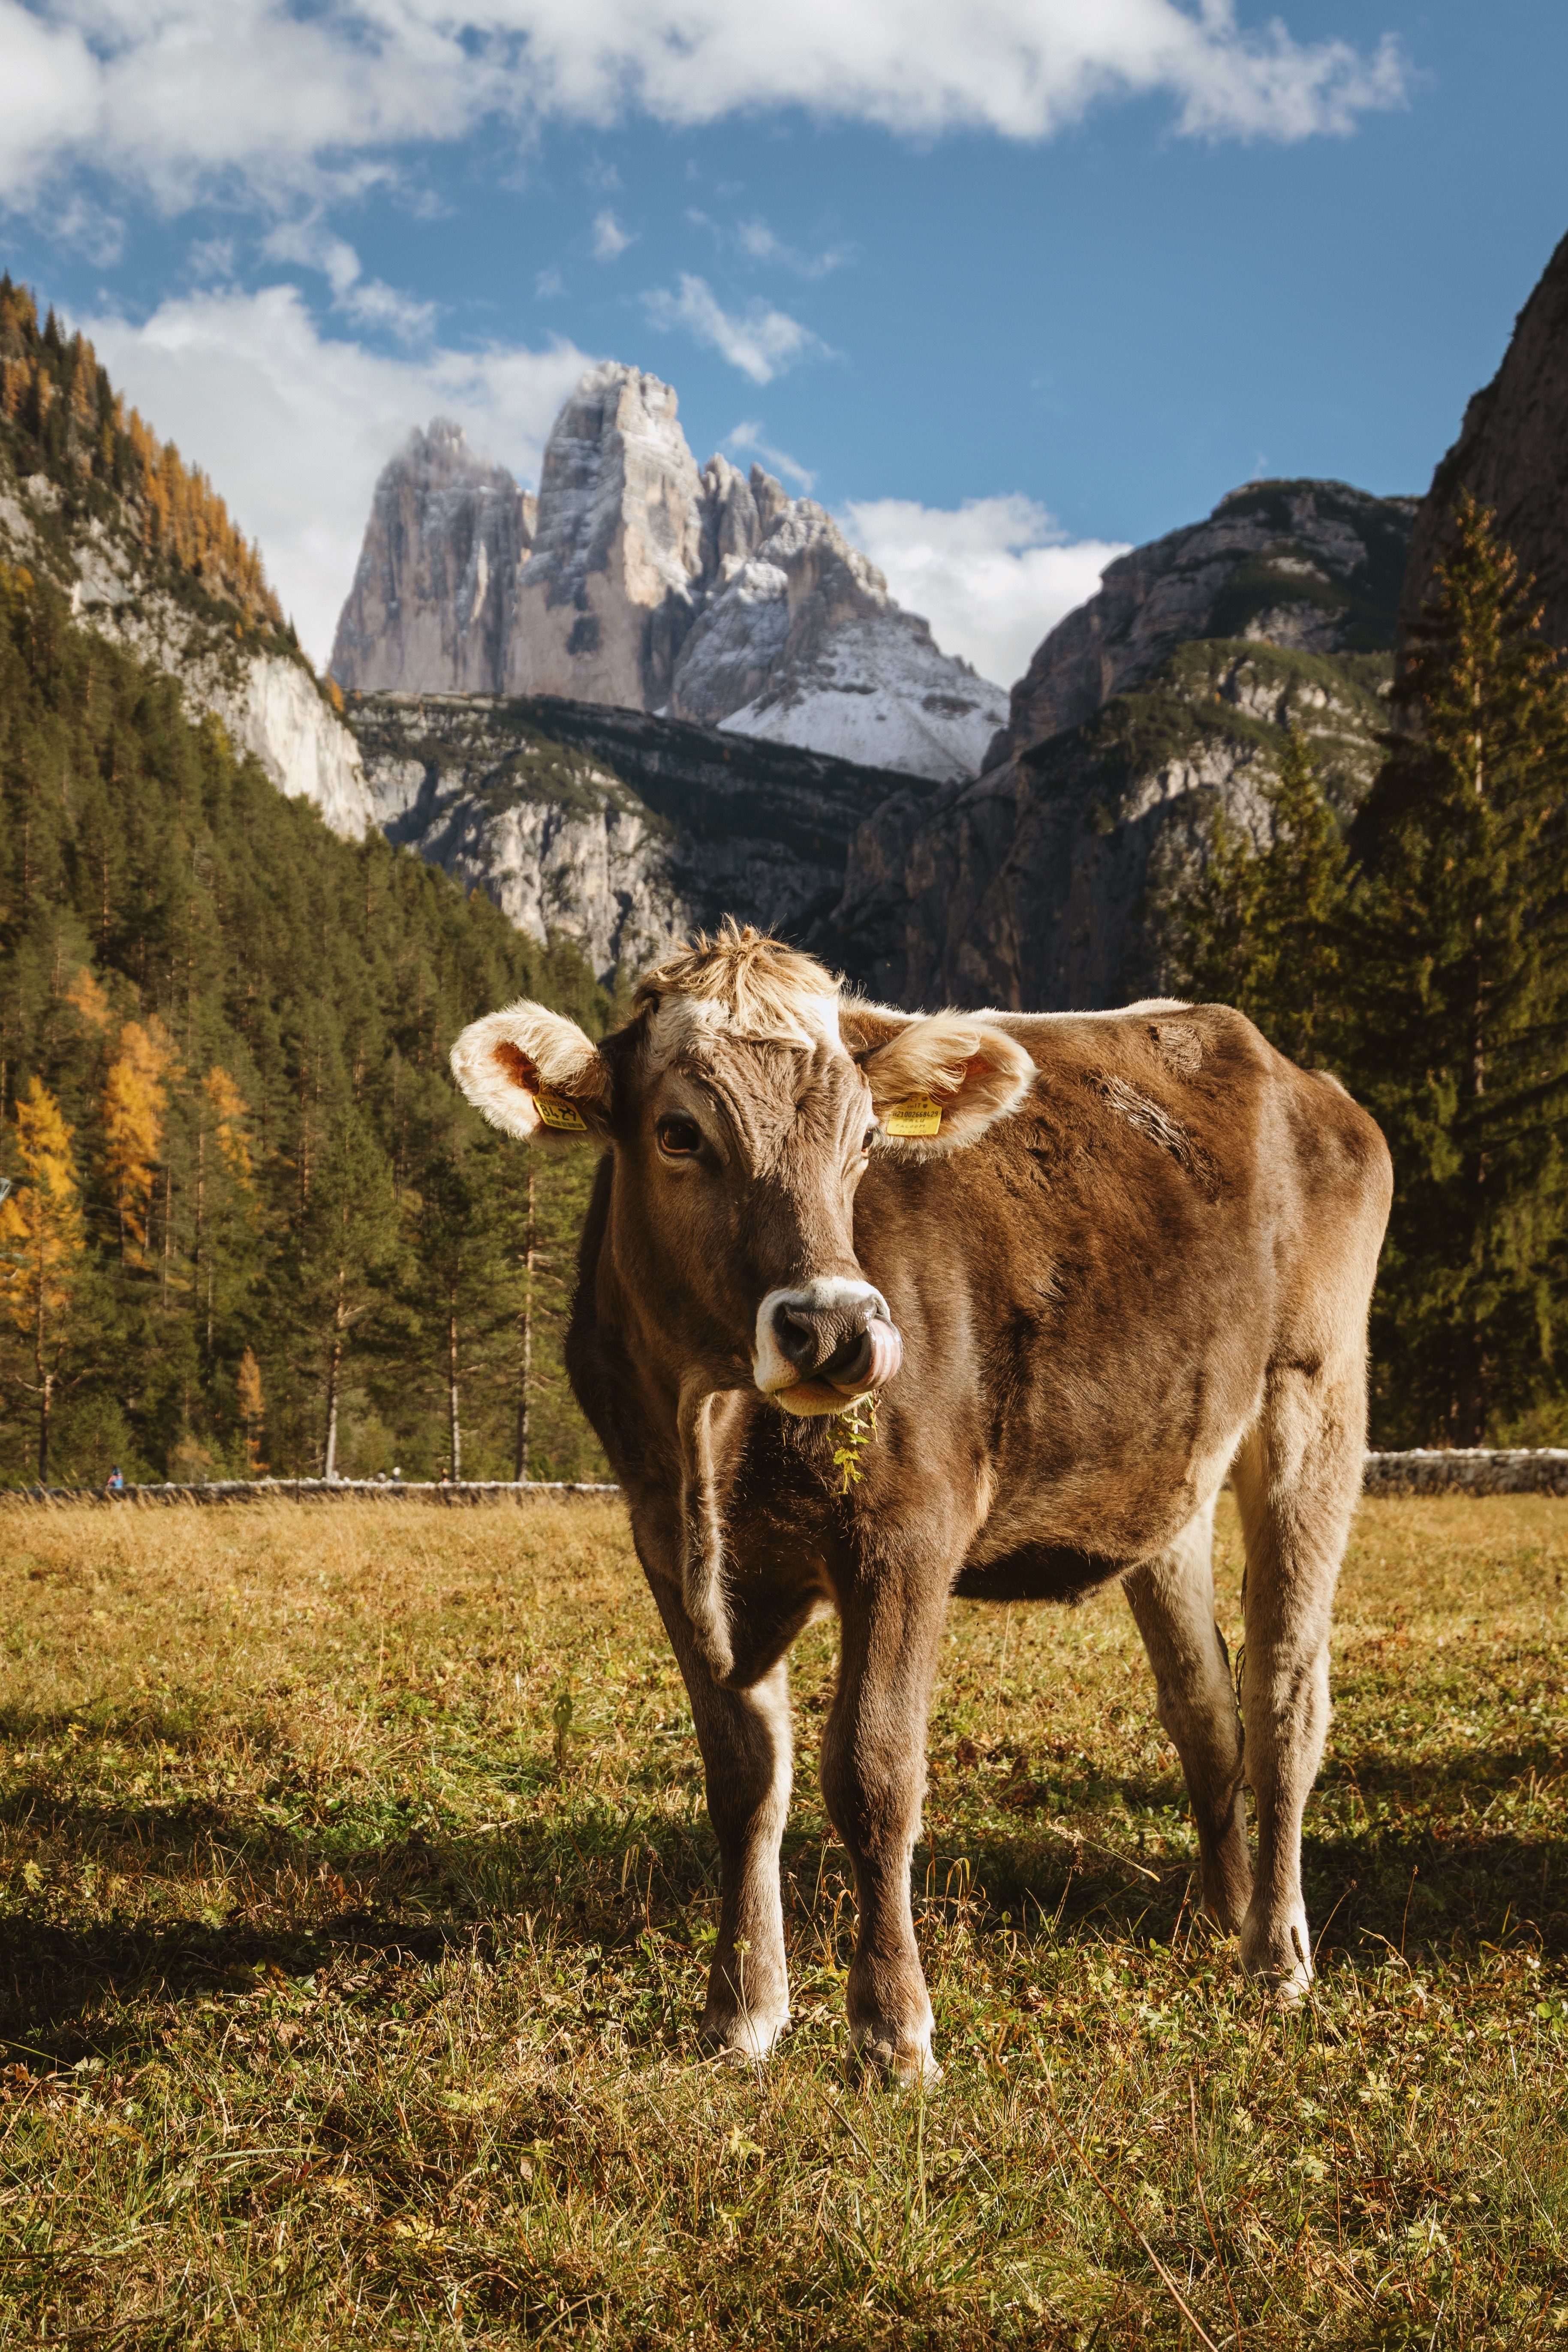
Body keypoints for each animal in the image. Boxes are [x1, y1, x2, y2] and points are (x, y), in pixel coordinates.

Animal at [450, 924, 1391, 2081]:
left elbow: (874, 1772)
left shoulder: (907, 1537)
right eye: (678, 1132)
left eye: (864, 1141)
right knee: (1204, 1704)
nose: (834, 1326)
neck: (711, 1427)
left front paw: (892, 2027)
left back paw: (1276, 1951)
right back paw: (1219, 1912)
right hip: (1170, 1467)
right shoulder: (666, 1543)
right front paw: (741, 2009)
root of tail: (1291, 1068)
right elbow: (744, 1779)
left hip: (1315, 1397)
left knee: (1284, 1697)